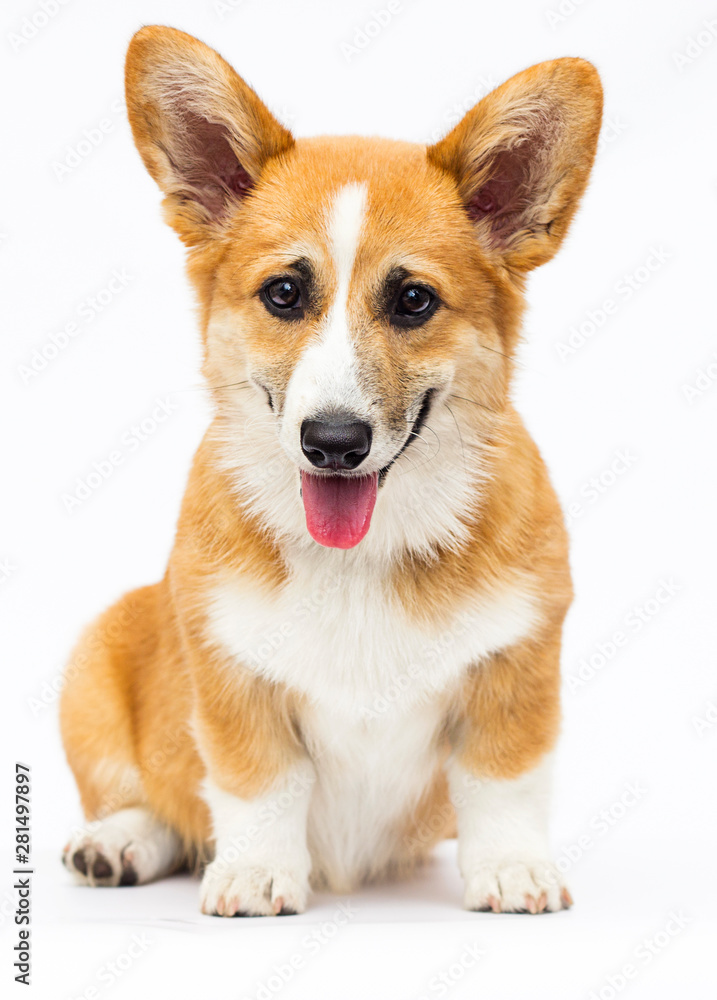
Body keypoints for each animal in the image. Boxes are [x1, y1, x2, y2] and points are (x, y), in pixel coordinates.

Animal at [58, 25, 600, 916]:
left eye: (413, 301)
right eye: (283, 293)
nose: (334, 442)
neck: (362, 556)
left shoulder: (517, 664)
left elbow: (501, 780)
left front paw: (511, 869)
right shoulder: (230, 673)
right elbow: (256, 781)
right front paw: (253, 874)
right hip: (95, 661)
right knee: (151, 800)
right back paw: (118, 844)